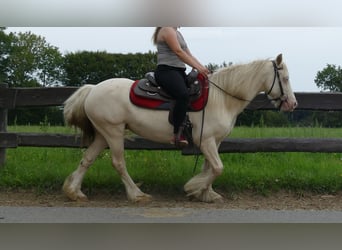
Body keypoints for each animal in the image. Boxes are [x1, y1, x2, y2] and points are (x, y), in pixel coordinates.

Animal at [63, 53, 296, 202]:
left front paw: (205, 193)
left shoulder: (214, 141)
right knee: (118, 163)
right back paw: (137, 194)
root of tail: (93, 89)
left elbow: (210, 167)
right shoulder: (206, 141)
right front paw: (194, 188)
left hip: (103, 134)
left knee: (87, 159)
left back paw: (74, 192)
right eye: (285, 78)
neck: (221, 98)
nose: (293, 104)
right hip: (114, 132)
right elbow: (218, 168)